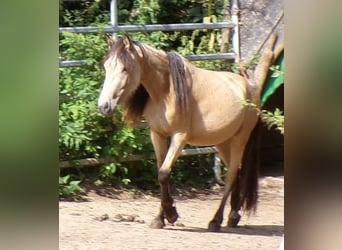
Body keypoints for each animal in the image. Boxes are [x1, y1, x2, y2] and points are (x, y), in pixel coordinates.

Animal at [97, 34, 278, 231]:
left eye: (125, 68)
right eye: (106, 66)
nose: (104, 106)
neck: (166, 91)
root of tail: (251, 87)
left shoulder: (180, 137)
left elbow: (164, 173)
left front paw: (171, 214)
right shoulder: (157, 135)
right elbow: (161, 173)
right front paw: (160, 218)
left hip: (240, 139)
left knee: (230, 176)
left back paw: (216, 221)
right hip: (223, 142)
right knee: (236, 172)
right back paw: (233, 216)